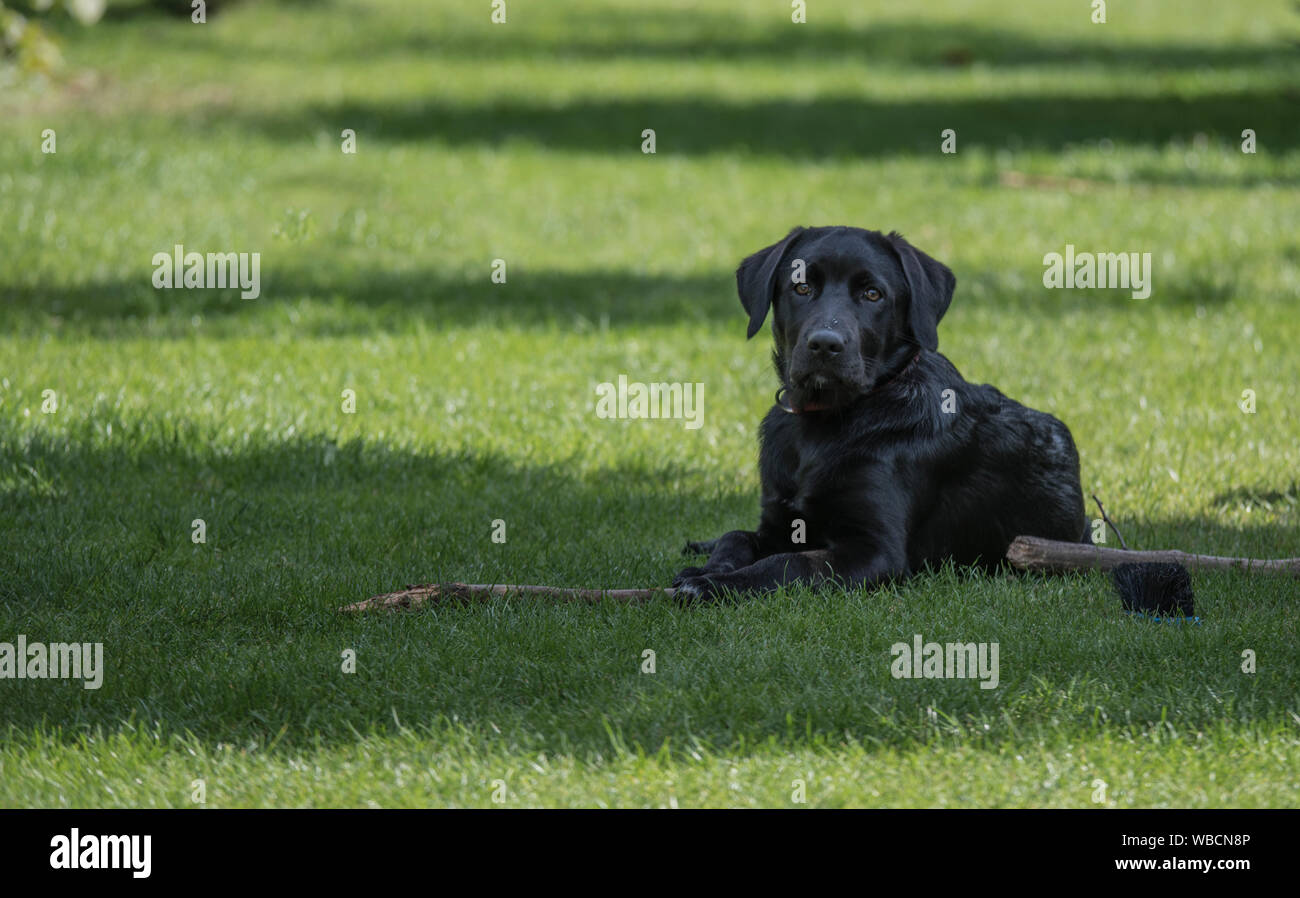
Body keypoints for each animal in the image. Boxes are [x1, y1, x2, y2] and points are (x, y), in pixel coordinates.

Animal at [676, 228, 1092, 600]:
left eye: (872, 294)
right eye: (802, 288)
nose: (825, 344)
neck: (825, 424)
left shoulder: (875, 551)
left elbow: (787, 563)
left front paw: (712, 585)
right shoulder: (781, 523)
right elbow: (737, 537)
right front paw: (706, 569)